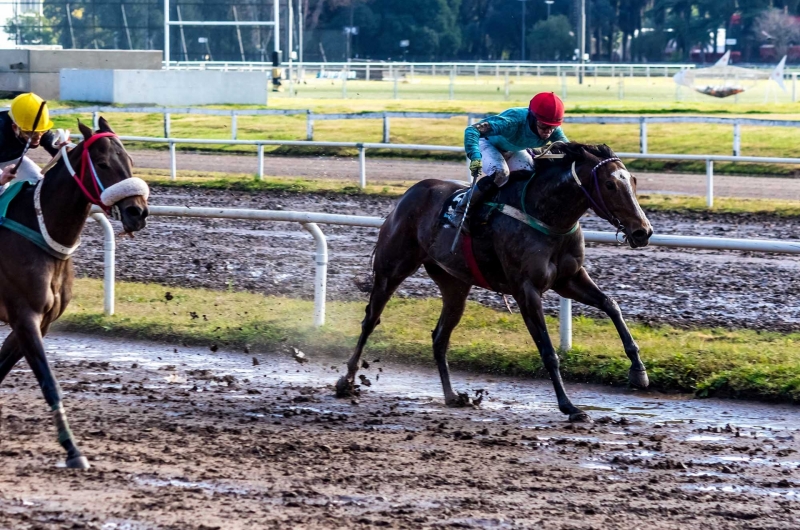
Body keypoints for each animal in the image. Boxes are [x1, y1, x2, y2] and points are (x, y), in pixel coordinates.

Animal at [0, 118, 148, 466]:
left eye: (130, 159)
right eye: (103, 163)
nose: (137, 212)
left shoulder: (39, 322)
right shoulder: (24, 316)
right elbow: (49, 382)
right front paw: (73, 450)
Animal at [334, 141, 652, 420]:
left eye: (634, 181)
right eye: (610, 185)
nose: (643, 232)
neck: (547, 215)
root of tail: (408, 194)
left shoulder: (569, 279)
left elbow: (611, 305)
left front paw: (638, 370)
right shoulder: (526, 290)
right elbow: (547, 350)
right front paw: (570, 407)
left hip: (454, 283)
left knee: (439, 336)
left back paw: (452, 396)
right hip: (393, 268)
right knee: (371, 319)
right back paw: (346, 381)